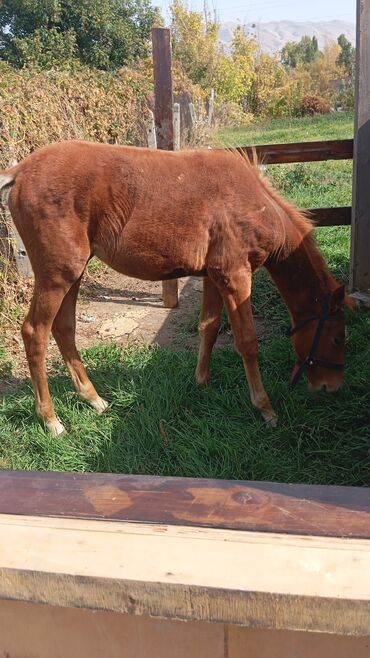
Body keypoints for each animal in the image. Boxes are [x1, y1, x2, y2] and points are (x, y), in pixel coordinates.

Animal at [0, 141, 348, 434]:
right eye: (337, 337)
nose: (331, 387)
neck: (254, 203)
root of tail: (19, 172)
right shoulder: (236, 277)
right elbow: (247, 342)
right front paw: (265, 409)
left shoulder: (213, 276)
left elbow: (209, 327)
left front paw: (202, 382)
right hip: (58, 274)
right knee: (35, 333)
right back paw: (51, 420)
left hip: (74, 271)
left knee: (64, 328)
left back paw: (93, 399)